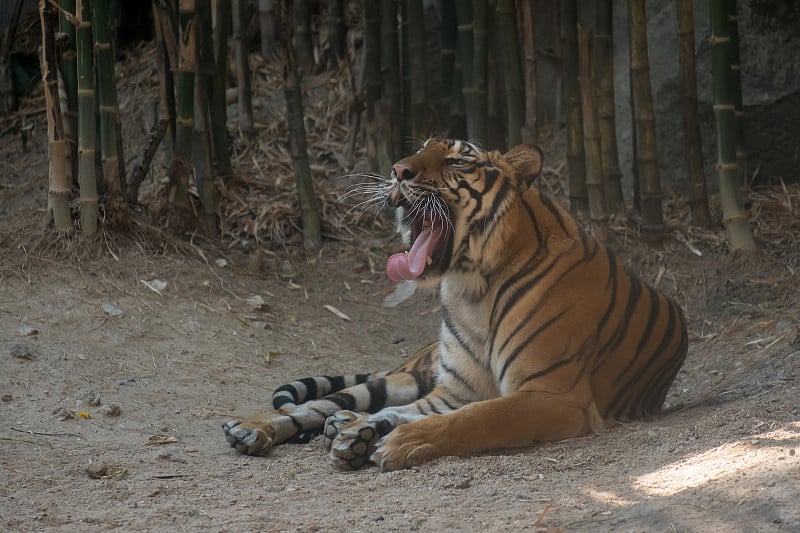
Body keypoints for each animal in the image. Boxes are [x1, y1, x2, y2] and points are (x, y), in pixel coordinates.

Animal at [222, 139, 692, 472]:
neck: (472, 289)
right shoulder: (456, 390)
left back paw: (351, 431)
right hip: (396, 380)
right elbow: (430, 413)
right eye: (421, 148)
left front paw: (399, 442)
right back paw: (252, 429)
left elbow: (473, 418)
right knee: (316, 406)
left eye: (457, 161)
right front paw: (375, 435)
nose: (398, 170)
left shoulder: (552, 394)